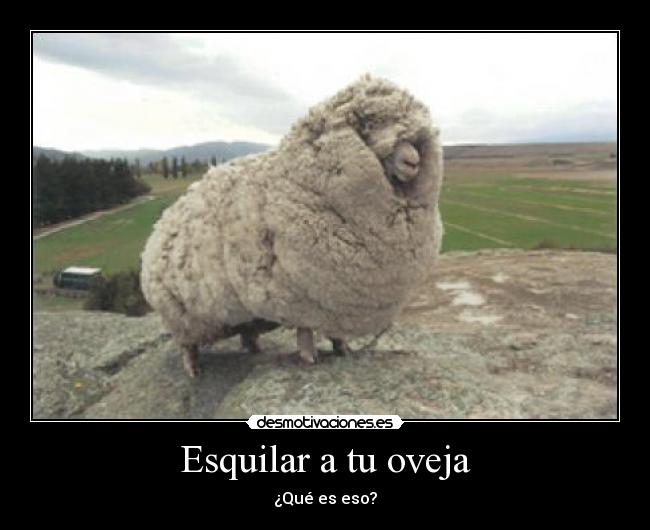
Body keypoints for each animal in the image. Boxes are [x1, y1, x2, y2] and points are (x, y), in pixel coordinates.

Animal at [140, 74, 444, 377]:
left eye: (416, 138)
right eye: (368, 125)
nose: (413, 161)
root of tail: (160, 224)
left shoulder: (335, 305)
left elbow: (335, 333)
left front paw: (343, 349)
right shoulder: (300, 299)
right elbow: (305, 331)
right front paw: (309, 358)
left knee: (246, 331)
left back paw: (254, 349)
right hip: (182, 314)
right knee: (187, 344)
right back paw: (193, 369)